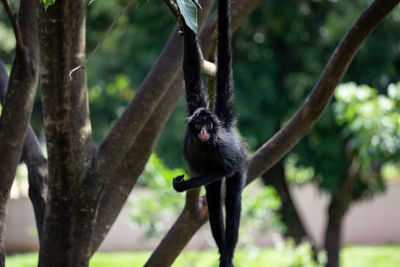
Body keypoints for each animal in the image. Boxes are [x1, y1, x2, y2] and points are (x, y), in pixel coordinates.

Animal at [172, 0, 247, 266]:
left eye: (208, 126)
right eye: (199, 126)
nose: (204, 131)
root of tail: (226, 124)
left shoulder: (222, 147)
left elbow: (226, 169)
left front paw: (187, 183)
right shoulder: (195, 105)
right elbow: (191, 65)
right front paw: (186, 24)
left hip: (241, 161)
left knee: (232, 203)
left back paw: (228, 253)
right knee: (214, 207)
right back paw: (221, 248)